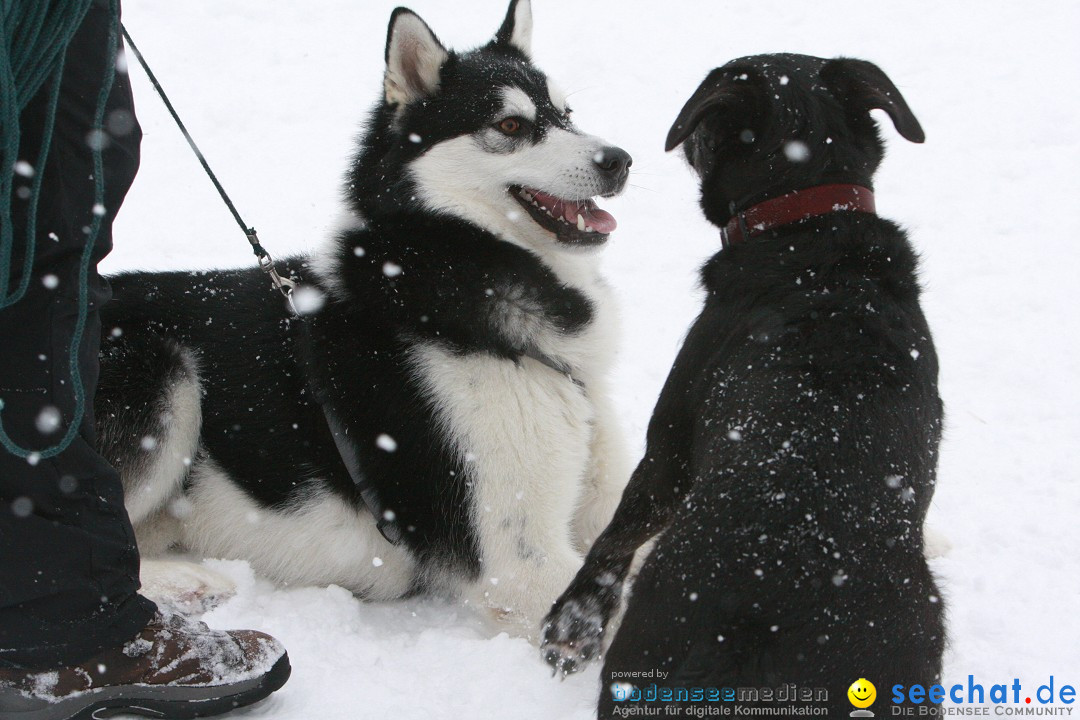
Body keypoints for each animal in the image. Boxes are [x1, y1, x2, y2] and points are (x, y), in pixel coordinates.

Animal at [98, 0, 630, 643]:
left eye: (567, 114)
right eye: (509, 126)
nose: (620, 160)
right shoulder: (515, 563)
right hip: (160, 372)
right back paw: (183, 583)